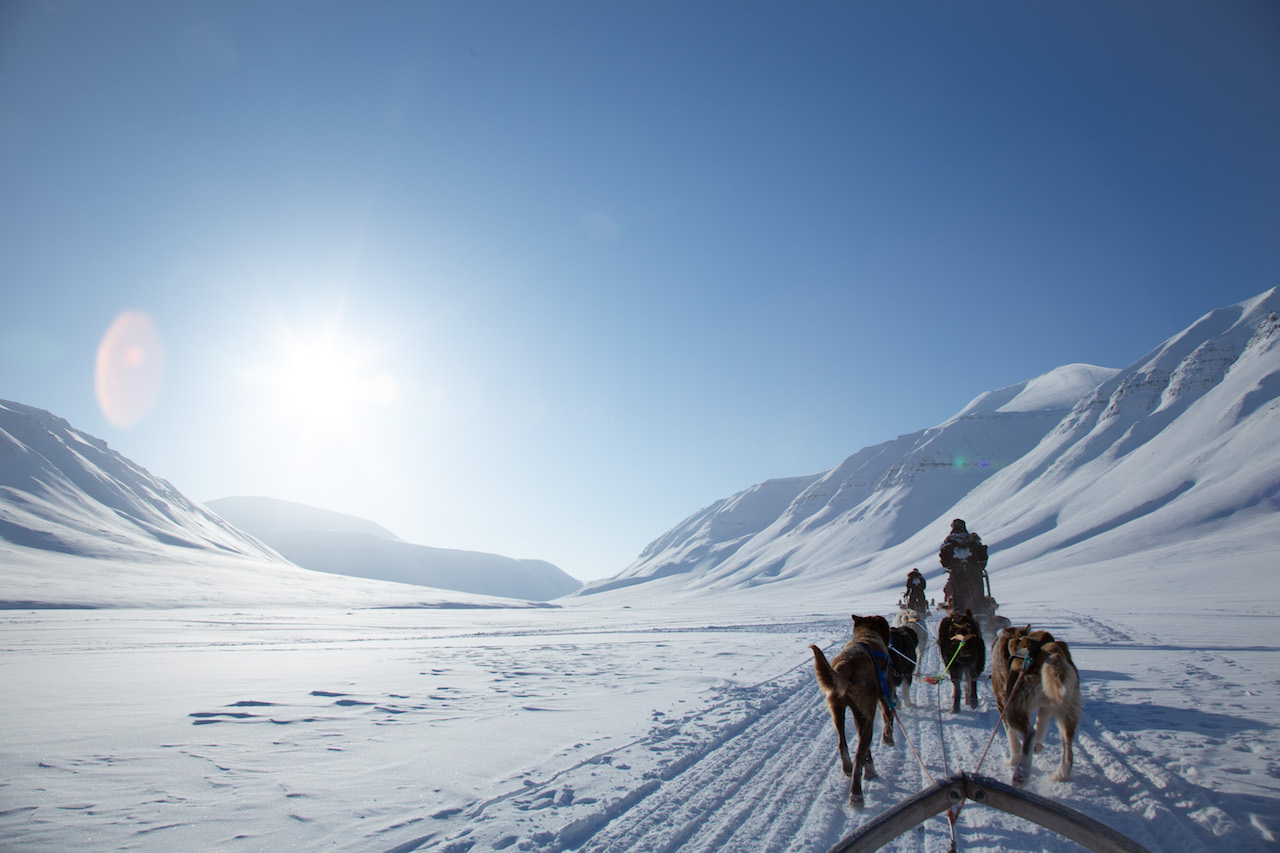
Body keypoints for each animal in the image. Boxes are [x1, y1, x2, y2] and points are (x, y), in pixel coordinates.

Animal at [814, 612, 896, 804]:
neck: (866, 634)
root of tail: (845, 667)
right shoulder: (885, 695)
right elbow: (888, 718)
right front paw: (888, 738)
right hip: (868, 715)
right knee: (859, 753)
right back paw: (857, 792)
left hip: (839, 713)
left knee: (843, 744)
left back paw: (849, 767)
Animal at [988, 622, 1080, 778]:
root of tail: (1049, 652)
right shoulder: (1046, 706)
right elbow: (1040, 724)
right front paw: (1037, 746)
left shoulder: (1002, 703)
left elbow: (1012, 736)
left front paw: (1013, 761)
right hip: (1066, 710)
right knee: (1067, 742)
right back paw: (1060, 774)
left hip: (1013, 707)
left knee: (1029, 733)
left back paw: (1021, 773)